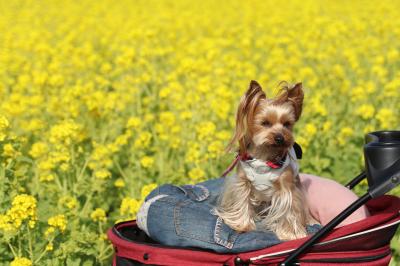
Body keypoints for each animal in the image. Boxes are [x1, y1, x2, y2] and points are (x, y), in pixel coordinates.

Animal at [216, 80, 316, 240]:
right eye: (265, 123)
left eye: (287, 124)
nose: (280, 138)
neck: (264, 156)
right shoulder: (242, 181)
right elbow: (242, 200)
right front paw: (242, 225)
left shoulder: (286, 187)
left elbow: (289, 209)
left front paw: (291, 235)